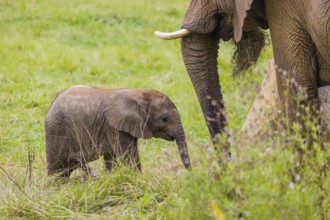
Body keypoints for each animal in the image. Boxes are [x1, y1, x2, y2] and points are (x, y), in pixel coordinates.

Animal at [46, 85, 191, 180]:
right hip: (56, 130)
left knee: (66, 169)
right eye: (164, 119)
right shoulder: (114, 126)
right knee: (57, 168)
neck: (138, 93)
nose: (190, 173)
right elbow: (128, 156)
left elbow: (116, 157)